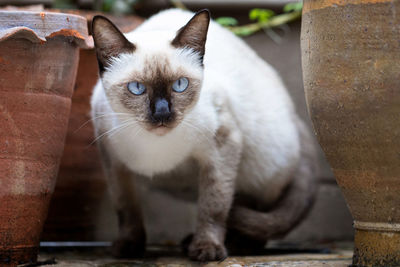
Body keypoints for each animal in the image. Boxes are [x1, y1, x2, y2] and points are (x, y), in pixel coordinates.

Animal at [90, 7, 318, 262]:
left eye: (180, 85)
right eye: (137, 88)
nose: (162, 114)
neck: (156, 147)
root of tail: (295, 115)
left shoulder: (222, 148)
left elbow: (213, 207)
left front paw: (207, 249)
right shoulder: (113, 163)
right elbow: (126, 209)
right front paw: (128, 247)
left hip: (258, 173)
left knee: (257, 224)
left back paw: (229, 245)